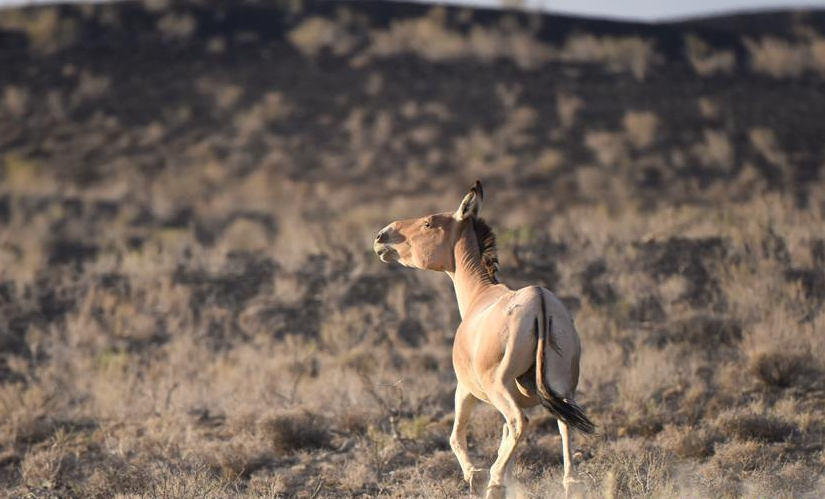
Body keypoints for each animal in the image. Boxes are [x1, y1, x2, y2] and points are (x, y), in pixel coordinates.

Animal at [374, 182, 592, 498]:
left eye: (428, 222)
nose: (382, 237)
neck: (481, 295)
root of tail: (540, 301)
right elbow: (502, 437)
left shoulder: (464, 389)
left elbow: (455, 436)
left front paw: (475, 476)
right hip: (563, 388)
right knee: (564, 423)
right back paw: (569, 482)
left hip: (497, 387)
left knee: (518, 422)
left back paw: (495, 482)